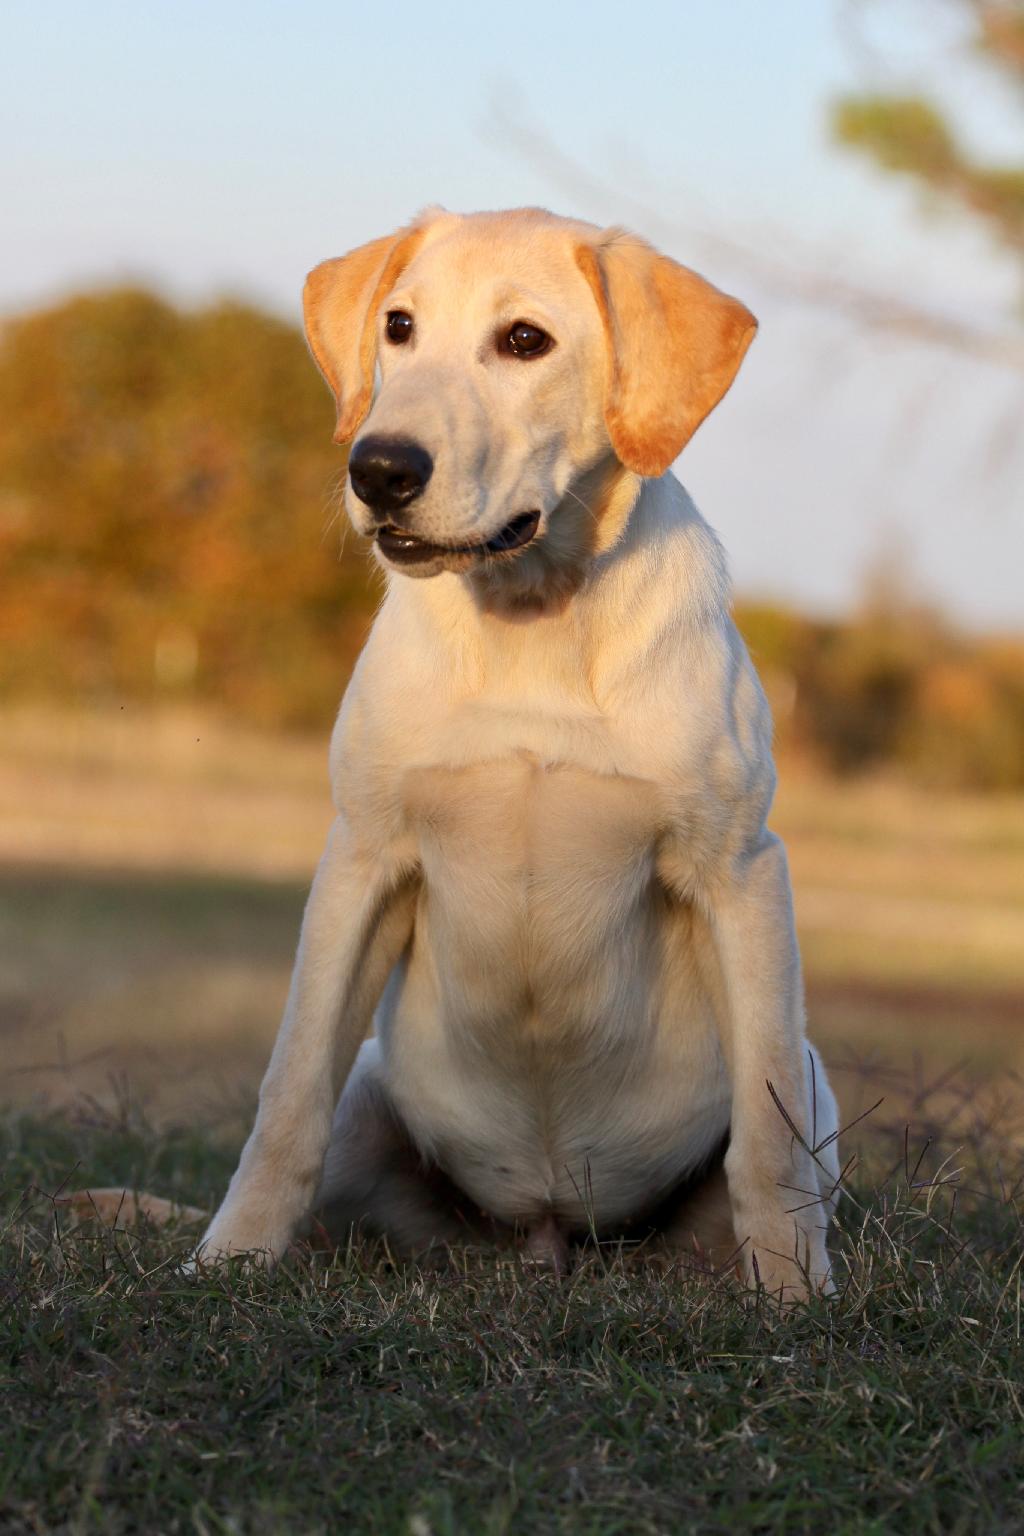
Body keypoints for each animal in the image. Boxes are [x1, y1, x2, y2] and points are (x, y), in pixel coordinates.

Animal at [198, 207, 841, 1296]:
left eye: (524, 341)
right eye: (399, 326)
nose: (378, 468)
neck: (530, 619)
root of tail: (548, 1232)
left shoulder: (742, 870)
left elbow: (767, 1141)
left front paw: (794, 1297)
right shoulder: (363, 857)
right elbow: (286, 1096)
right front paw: (228, 1261)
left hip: (815, 1072)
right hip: (371, 1095)